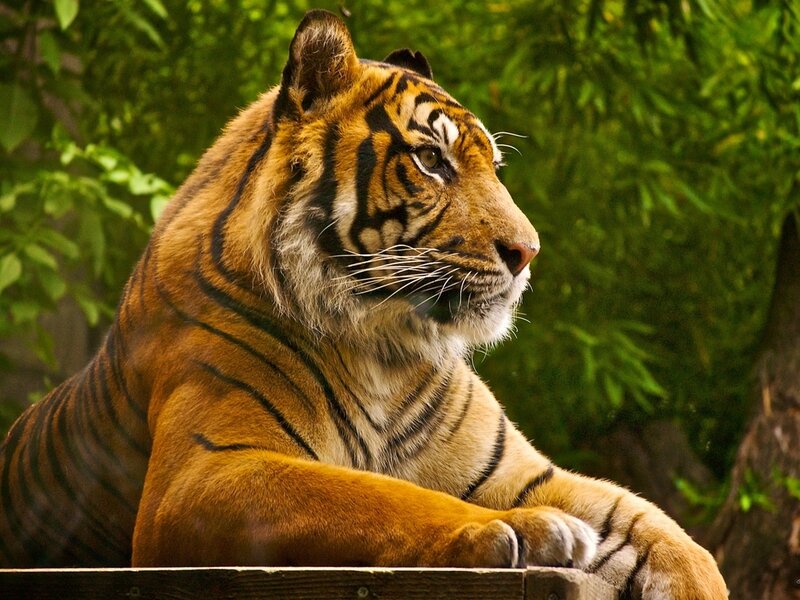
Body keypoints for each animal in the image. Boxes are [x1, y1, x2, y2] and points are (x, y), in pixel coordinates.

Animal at [0, 9, 727, 599]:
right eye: (432, 160)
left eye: (493, 167)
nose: (528, 252)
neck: (385, 347)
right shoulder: (203, 472)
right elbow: (380, 494)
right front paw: (518, 530)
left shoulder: (522, 470)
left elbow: (658, 526)